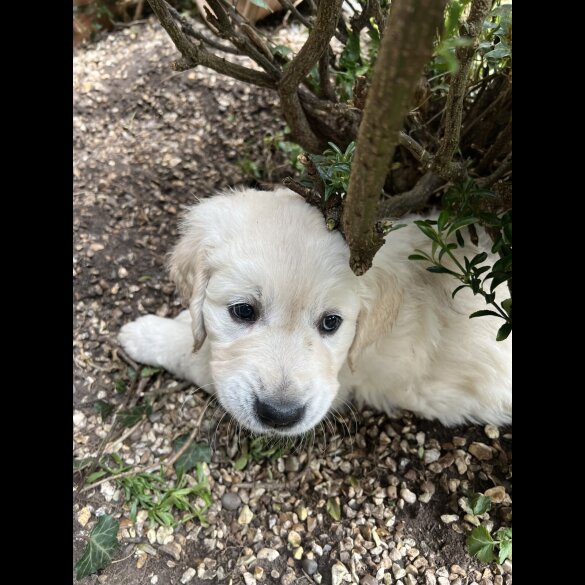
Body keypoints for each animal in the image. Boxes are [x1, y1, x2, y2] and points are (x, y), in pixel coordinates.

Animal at [118, 187, 512, 434]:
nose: (280, 416)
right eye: (243, 311)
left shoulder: (341, 382)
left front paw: (143, 334)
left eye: (331, 322)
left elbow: (198, 360)